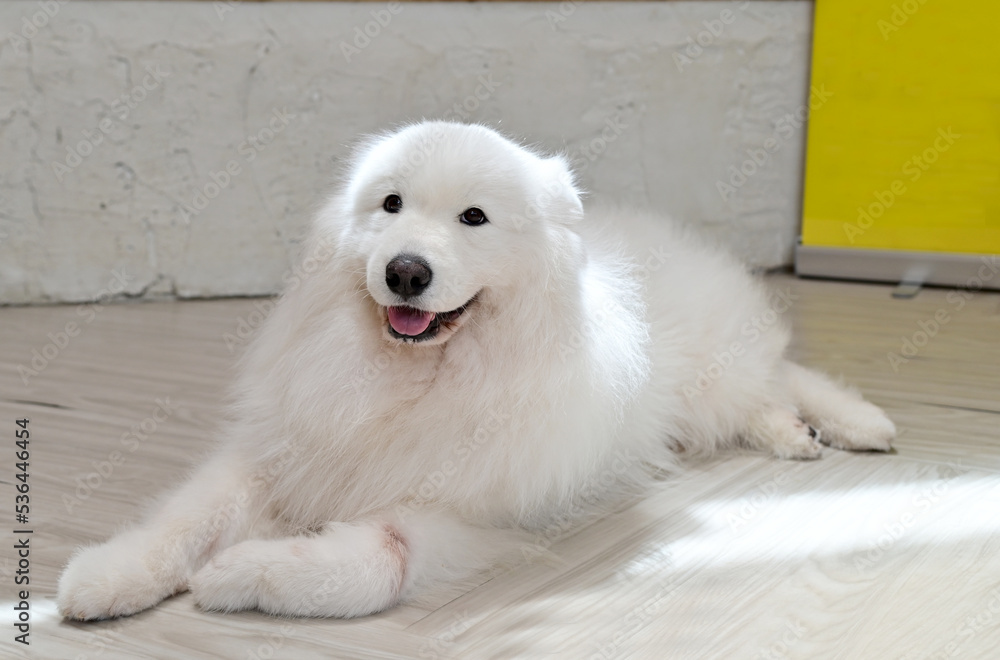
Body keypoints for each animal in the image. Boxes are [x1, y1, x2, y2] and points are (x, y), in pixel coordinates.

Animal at [58, 121, 896, 620]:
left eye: (474, 218)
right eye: (391, 205)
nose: (405, 271)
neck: (414, 378)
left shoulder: (463, 517)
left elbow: (374, 564)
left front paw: (237, 576)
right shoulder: (286, 453)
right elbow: (185, 519)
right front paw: (107, 576)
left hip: (709, 383)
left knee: (780, 373)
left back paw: (849, 424)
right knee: (771, 387)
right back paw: (800, 436)